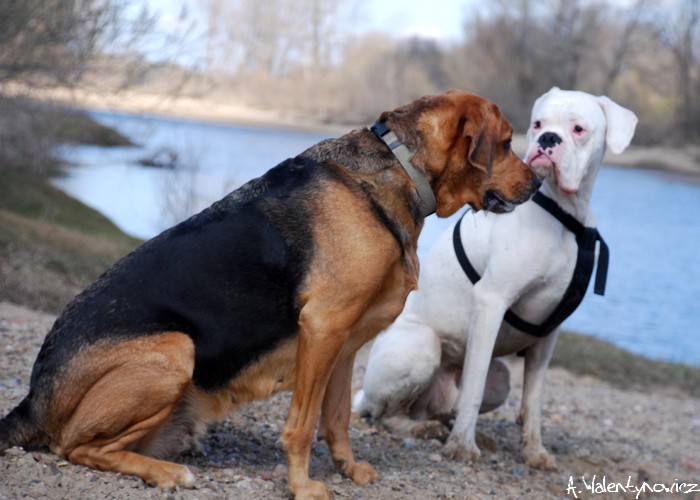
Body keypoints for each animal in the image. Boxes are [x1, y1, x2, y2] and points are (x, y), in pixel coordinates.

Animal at [0, 91, 536, 500]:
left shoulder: (345, 344)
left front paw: (348, 469)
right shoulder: (322, 329)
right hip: (176, 349)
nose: (538, 181)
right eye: (508, 143)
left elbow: (337, 417)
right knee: (74, 447)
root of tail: (34, 398)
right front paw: (302, 486)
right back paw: (168, 472)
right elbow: (303, 424)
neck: (401, 166)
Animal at [352, 88, 636, 470]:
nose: (548, 139)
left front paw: (535, 452)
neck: (565, 216)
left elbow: (533, 401)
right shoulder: (491, 302)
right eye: (538, 124)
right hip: (421, 346)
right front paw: (462, 447)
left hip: (499, 380)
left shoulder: (549, 334)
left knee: (443, 406)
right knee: (387, 414)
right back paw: (423, 429)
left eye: (578, 129)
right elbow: (473, 386)